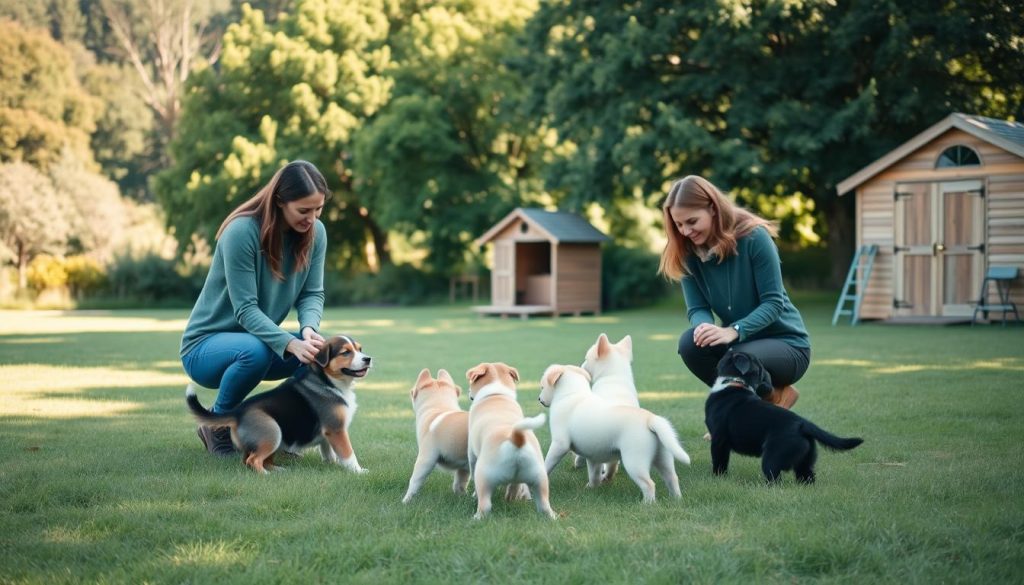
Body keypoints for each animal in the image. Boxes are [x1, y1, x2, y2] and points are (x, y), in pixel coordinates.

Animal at [187, 336, 372, 473]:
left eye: (360, 349)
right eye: (345, 352)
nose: (368, 359)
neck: (329, 381)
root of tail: (237, 413)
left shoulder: (328, 434)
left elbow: (329, 452)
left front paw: (332, 465)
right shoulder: (336, 430)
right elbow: (348, 453)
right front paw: (358, 471)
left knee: (250, 460)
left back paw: (278, 470)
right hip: (273, 431)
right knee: (253, 460)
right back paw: (265, 474)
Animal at [405, 370, 473, 504]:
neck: (439, 406)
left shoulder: (426, 458)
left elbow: (414, 481)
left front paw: (406, 500)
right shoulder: (464, 467)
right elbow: (460, 483)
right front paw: (462, 496)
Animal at [466, 362, 557, 522]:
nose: (468, 392)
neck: (496, 394)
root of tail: (516, 439)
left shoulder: (472, 454)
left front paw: (473, 495)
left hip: (484, 476)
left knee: (485, 504)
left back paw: (476, 518)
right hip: (539, 478)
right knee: (543, 505)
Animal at [536, 362, 688, 504]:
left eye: (542, 387)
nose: (539, 399)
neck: (572, 394)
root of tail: (650, 419)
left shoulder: (559, 444)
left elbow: (548, 462)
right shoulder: (593, 457)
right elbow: (594, 475)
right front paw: (591, 487)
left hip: (635, 461)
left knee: (649, 484)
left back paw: (647, 504)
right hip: (663, 457)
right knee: (672, 477)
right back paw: (676, 499)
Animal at [704, 352, 864, 485]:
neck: (735, 382)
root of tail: (802, 424)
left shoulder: (719, 440)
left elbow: (719, 462)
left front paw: (717, 478)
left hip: (772, 457)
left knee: (775, 478)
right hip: (805, 460)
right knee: (807, 477)